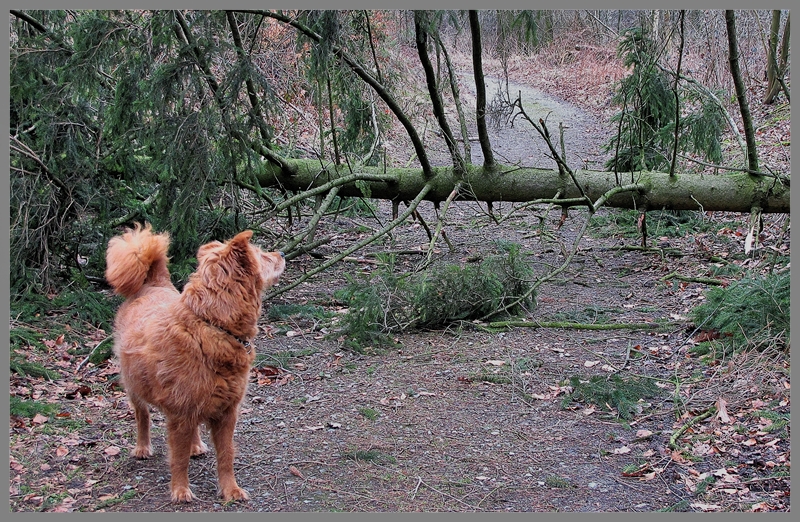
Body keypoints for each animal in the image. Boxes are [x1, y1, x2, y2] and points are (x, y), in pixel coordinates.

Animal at [103, 222, 284, 500]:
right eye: (263, 255)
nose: (282, 254)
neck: (211, 324)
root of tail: (152, 284)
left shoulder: (227, 412)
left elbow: (226, 456)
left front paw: (230, 489)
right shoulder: (180, 414)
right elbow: (178, 459)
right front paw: (180, 490)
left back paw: (196, 445)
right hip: (134, 386)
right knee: (142, 416)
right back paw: (143, 447)